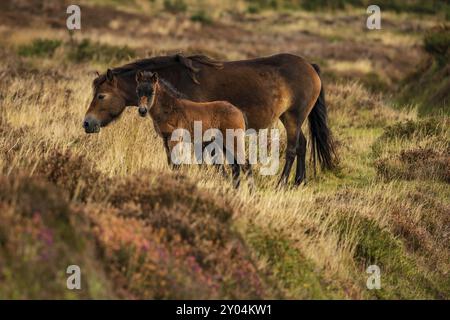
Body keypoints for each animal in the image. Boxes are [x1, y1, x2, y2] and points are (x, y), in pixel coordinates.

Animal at [85, 53, 338, 186]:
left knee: (293, 148)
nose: (87, 123)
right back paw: (298, 182)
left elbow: (210, 162)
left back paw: (282, 183)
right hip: (289, 117)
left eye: (101, 95)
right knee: (303, 145)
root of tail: (309, 65)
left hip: (294, 117)